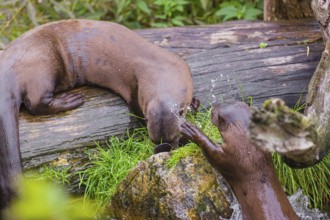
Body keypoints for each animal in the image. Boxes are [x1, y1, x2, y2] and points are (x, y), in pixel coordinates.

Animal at [0, 19, 195, 210]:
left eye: (172, 138)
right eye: (154, 140)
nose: (162, 149)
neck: (158, 66)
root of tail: (6, 70)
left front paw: (194, 103)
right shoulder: (135, 89)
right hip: (42, 66)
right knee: (35, 103)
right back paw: (71, 100)